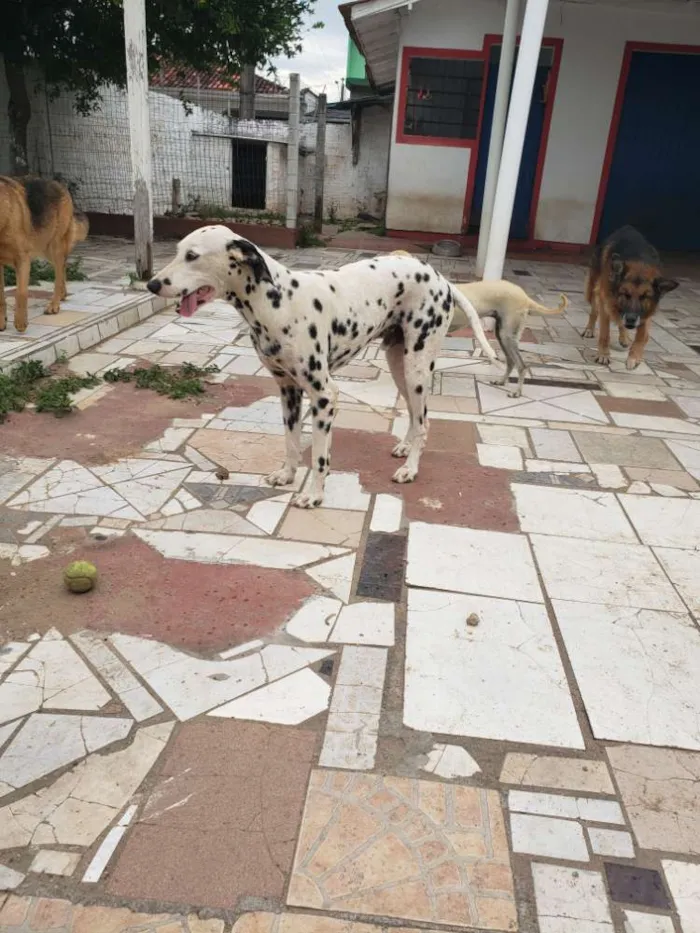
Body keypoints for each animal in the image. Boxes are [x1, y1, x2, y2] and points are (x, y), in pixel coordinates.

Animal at [0, 177, 89, 334]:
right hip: (45, 249)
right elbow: (0, 298)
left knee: (59, 273)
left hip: (54, 247)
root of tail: (58, 184)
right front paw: (1, 323)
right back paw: (62, 294)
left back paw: (54, 305)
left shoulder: (23, 260)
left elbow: (21, 293)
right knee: (63, 267)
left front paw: (21, 323)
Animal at [150, 230, 494, 512]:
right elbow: (291, 443)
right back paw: (406, 447)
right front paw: (287, 475)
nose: (152, 284)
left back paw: (410, 468)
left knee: (425, 421)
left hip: (417, 368)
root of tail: (439, 277)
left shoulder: (325, 396)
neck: (276, 302)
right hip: (401, 366)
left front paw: (314, 495)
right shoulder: (288, 391)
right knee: (414, 414)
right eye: (177, 250)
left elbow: (318, 456)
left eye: (192, 256)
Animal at [584, 226, 680, 368]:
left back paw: (624, 337)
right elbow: (605, 333)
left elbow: (642, 336)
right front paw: (603, 355)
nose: (630, 319)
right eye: (626, 294)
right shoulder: (606, 302)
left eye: (644, 297)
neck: (640, 265)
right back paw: (589, 329)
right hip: (594, 289)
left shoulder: (646, 313)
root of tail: (627, 227)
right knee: (594, 311)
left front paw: (634, 357)